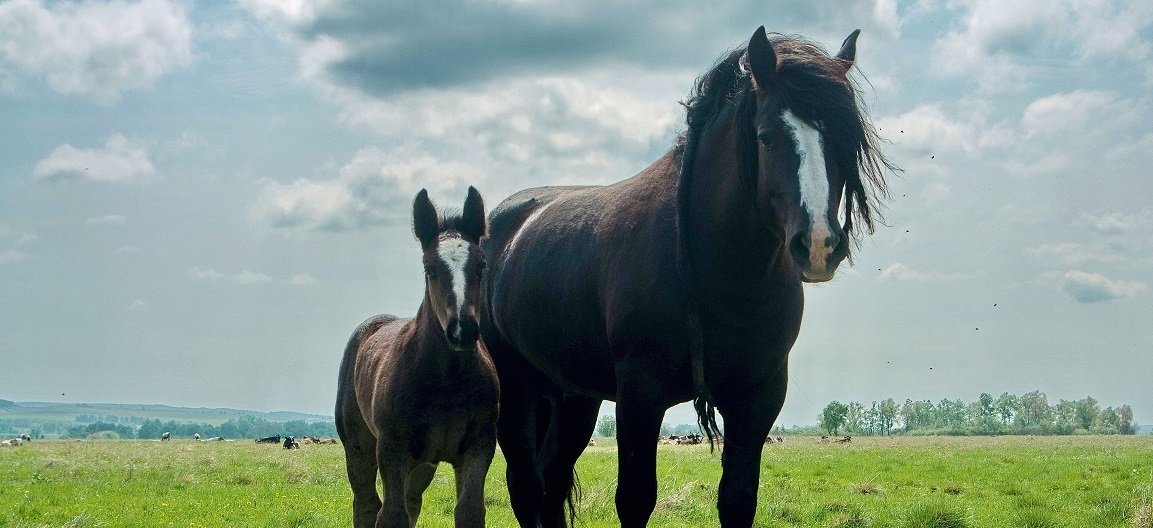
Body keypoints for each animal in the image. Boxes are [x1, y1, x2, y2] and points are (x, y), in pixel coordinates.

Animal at [334, 185, 495, 528]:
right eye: (429, 269)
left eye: (481, 265)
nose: (461, 330)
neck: (447, 380)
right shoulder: (392, 449)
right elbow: (391, 514)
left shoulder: (479, 448)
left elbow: (469, 511)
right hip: (359, 447)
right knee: (367, 505)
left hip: (423, 463)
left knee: (411, 503)